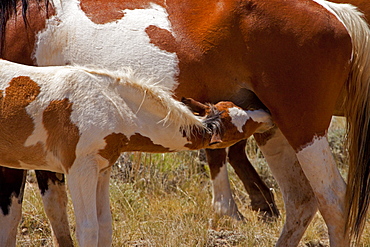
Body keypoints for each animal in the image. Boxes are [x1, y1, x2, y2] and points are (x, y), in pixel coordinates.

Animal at [0, 0, 370, 247]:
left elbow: (12, 217)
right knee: (301, 200)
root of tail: (333, 11)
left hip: (304, 127)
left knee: (334, 202)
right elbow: (56, 211)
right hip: (276, 132)